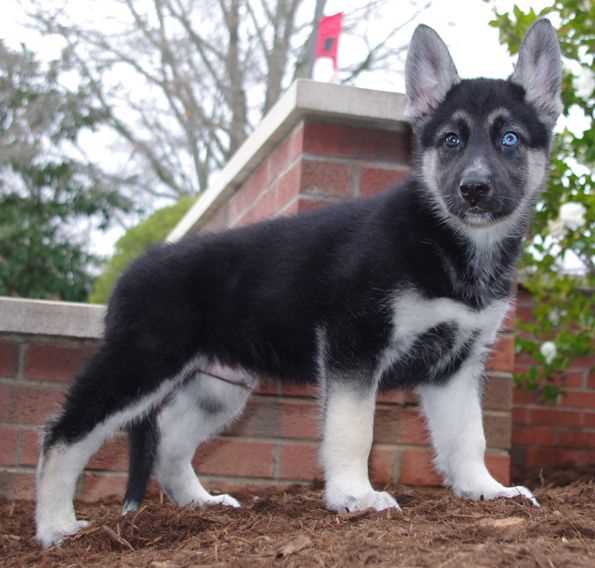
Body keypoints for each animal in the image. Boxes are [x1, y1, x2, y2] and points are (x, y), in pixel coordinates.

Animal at [35, 20, 560, 548]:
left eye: (509, 139)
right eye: (451, 140)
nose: (474, 190)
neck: (448, 243)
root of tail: (134, 269)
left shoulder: (456, 364)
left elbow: (468, 436)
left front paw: (485, 490)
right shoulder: (354, 345)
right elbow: (354, 430)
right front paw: (354, 496)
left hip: (217, 387)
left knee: (167, 439)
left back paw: (201, 504)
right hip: (142, 364)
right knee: (62, 435)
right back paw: (55, 526)